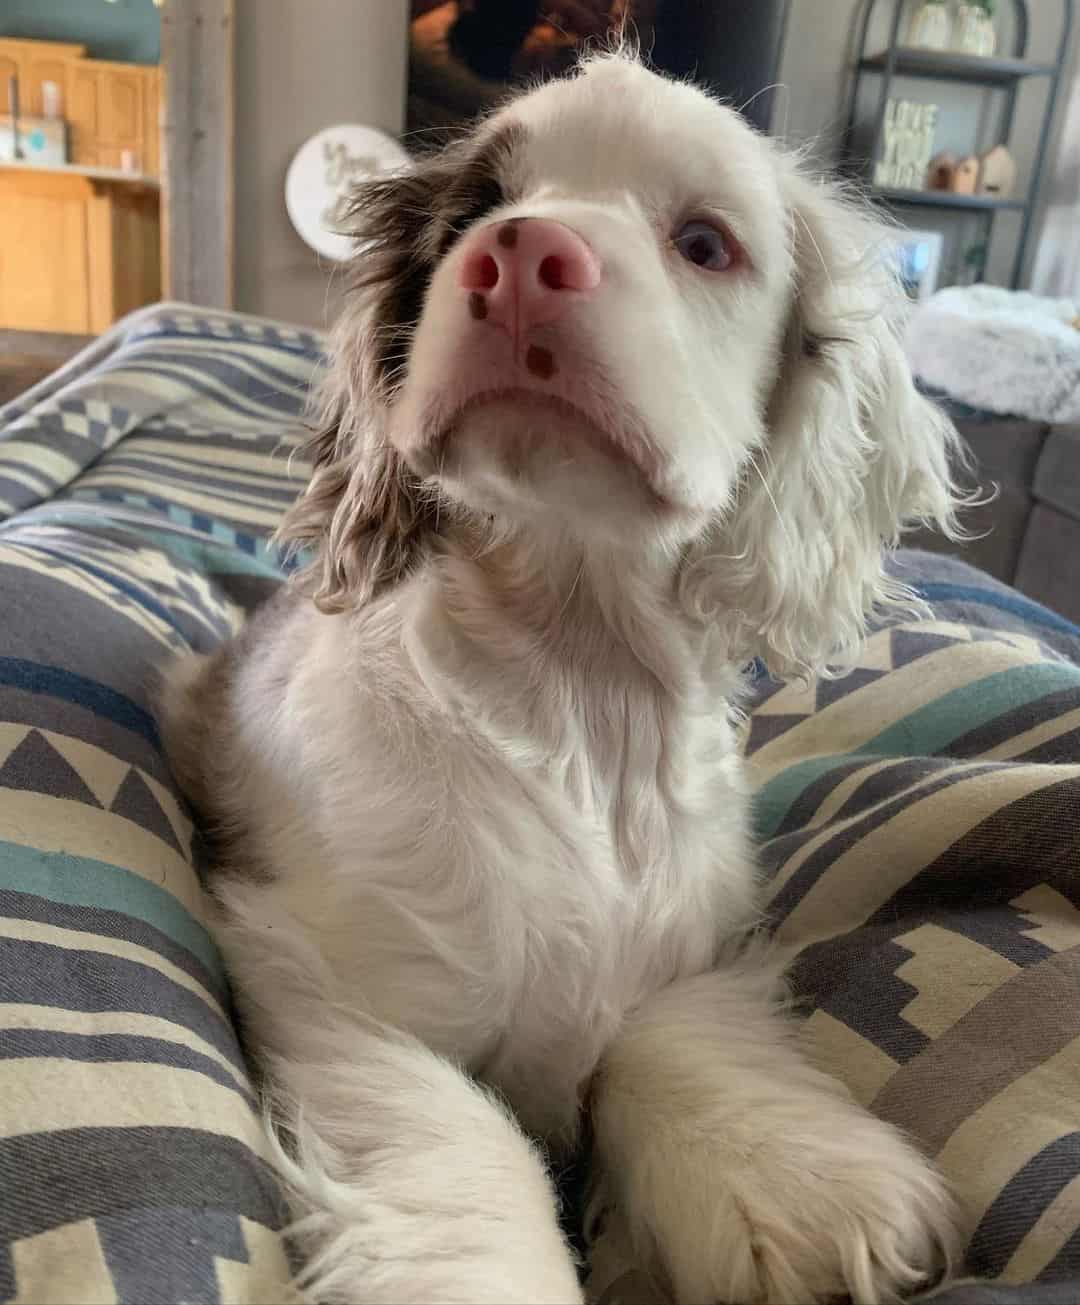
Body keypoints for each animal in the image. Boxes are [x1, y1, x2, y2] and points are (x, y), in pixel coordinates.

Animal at [166, 48, 970, 1305]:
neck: (576, 689)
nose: (520, 257)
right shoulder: (335, 987)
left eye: (704, 243)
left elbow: (667, 1036)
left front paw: (799, 1179)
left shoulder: (689, 948)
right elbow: (467, 1147)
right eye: (471, 216)